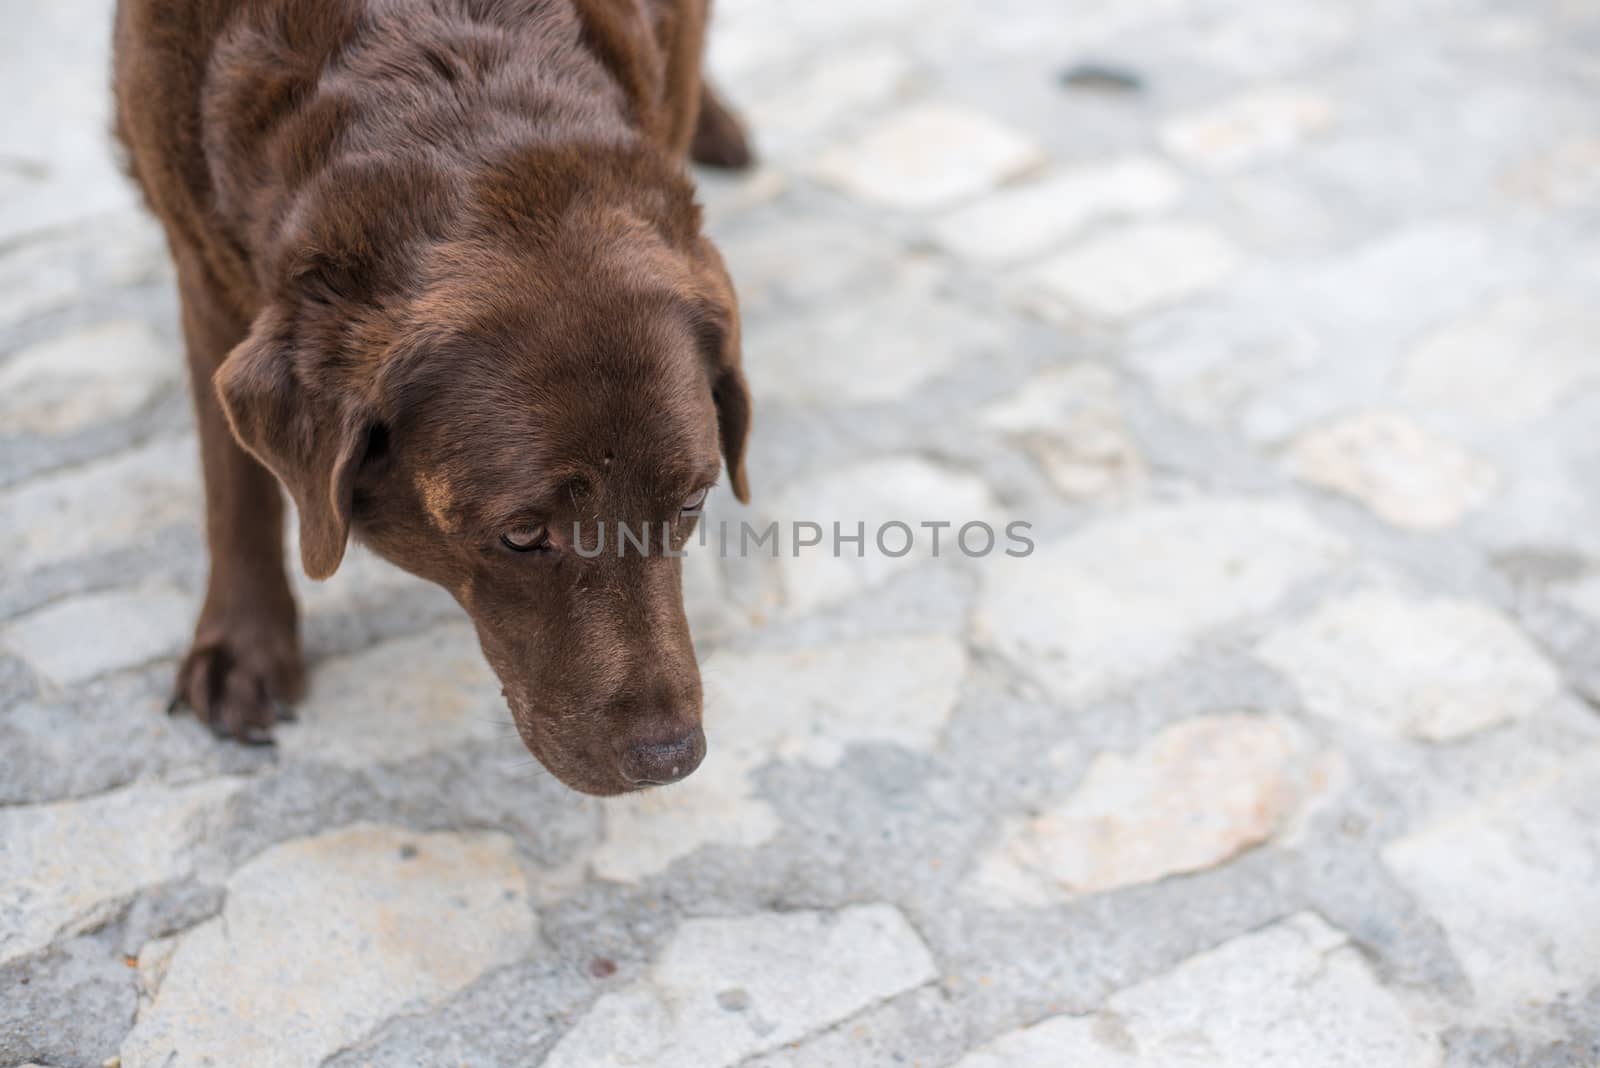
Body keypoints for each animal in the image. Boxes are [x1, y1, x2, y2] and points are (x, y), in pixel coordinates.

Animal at [116, 0, 752, 793]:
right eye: (522, 534)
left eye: (691, 502)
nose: (671, 758)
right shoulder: (200, 256)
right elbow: (235, 485)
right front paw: (243, 647)